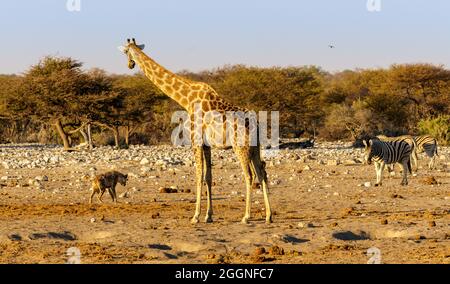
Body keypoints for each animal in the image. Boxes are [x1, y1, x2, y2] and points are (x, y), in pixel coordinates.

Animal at [118, 38, 272, 224]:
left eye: (126, 52)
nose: (129, 65)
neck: (187, 99)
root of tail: (257, 124)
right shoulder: (206, 145)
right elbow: (208, 177)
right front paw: (208, 215)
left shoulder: (195, 140)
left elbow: (198, 176)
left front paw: (196, 216)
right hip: (255, 148)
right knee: (262, 173)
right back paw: (268, 216)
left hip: (240, 147)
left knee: (249, 176)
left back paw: (246, 216)